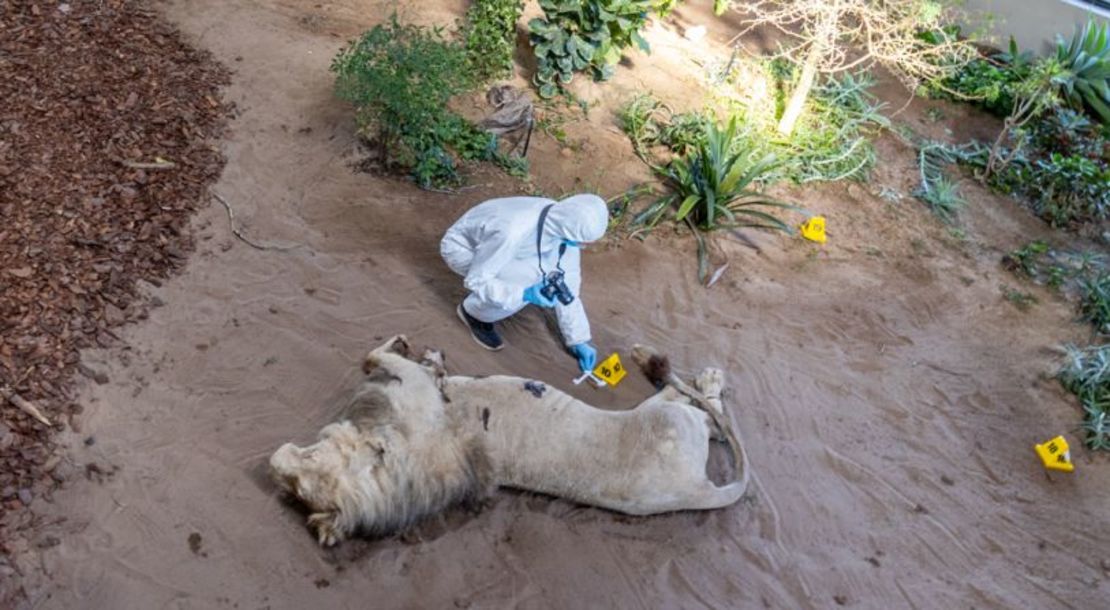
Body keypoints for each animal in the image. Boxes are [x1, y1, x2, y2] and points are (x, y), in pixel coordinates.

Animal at [271, 337, 750, 547]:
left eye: (300, 481)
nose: (281, 465)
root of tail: (697, 490)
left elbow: (394, 361)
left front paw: (430, 357)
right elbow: (383, 358)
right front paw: (422, 355)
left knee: (705, 412)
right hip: (669, 419)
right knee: (699, 408)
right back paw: (701, 375)